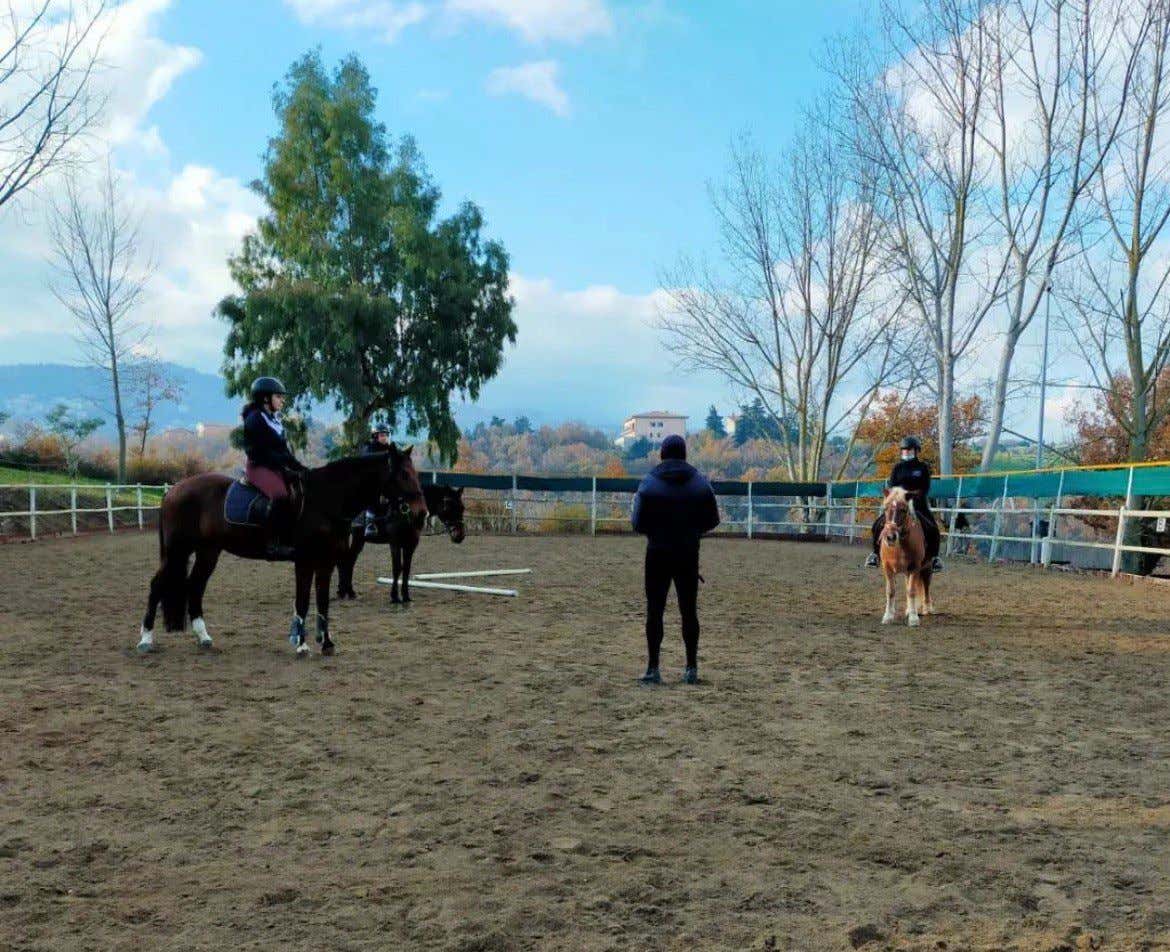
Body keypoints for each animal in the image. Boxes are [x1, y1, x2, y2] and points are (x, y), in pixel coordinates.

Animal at [137, 446, 426, 657]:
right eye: (403, 474)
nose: (421, 513)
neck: (325, 499)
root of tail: (174, 490)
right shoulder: (305, 561)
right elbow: (303, 601)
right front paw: (301, 644)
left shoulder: (326, 562)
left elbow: (322, 601)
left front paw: (327, 643)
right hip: (177, 550)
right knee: (157, 585)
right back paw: (145, 639)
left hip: (208, 552)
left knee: (195, 585)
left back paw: (204, 637)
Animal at [335, 483, 466, 602]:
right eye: (449, 506)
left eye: (462, 507)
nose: (459, 535)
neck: (408, 512)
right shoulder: (395, 543)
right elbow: (397, 568)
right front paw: (394, 596)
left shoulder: (411, 545)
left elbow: (406, 568)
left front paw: (406, 596)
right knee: (347, 560)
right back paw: (348, 591)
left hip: (356, 538)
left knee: (348, 560)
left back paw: (345, 591)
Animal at [878, 486, 934, 627]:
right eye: (886, 508)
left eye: (903, 510)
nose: (890, 537)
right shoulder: (887, 568)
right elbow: (891, 591)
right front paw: (888, 616)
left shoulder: (915, 568)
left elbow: (912, 591)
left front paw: (913, 619)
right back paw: (908, 609)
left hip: (927, 568)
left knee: (926, 587)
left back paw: (927, 608)